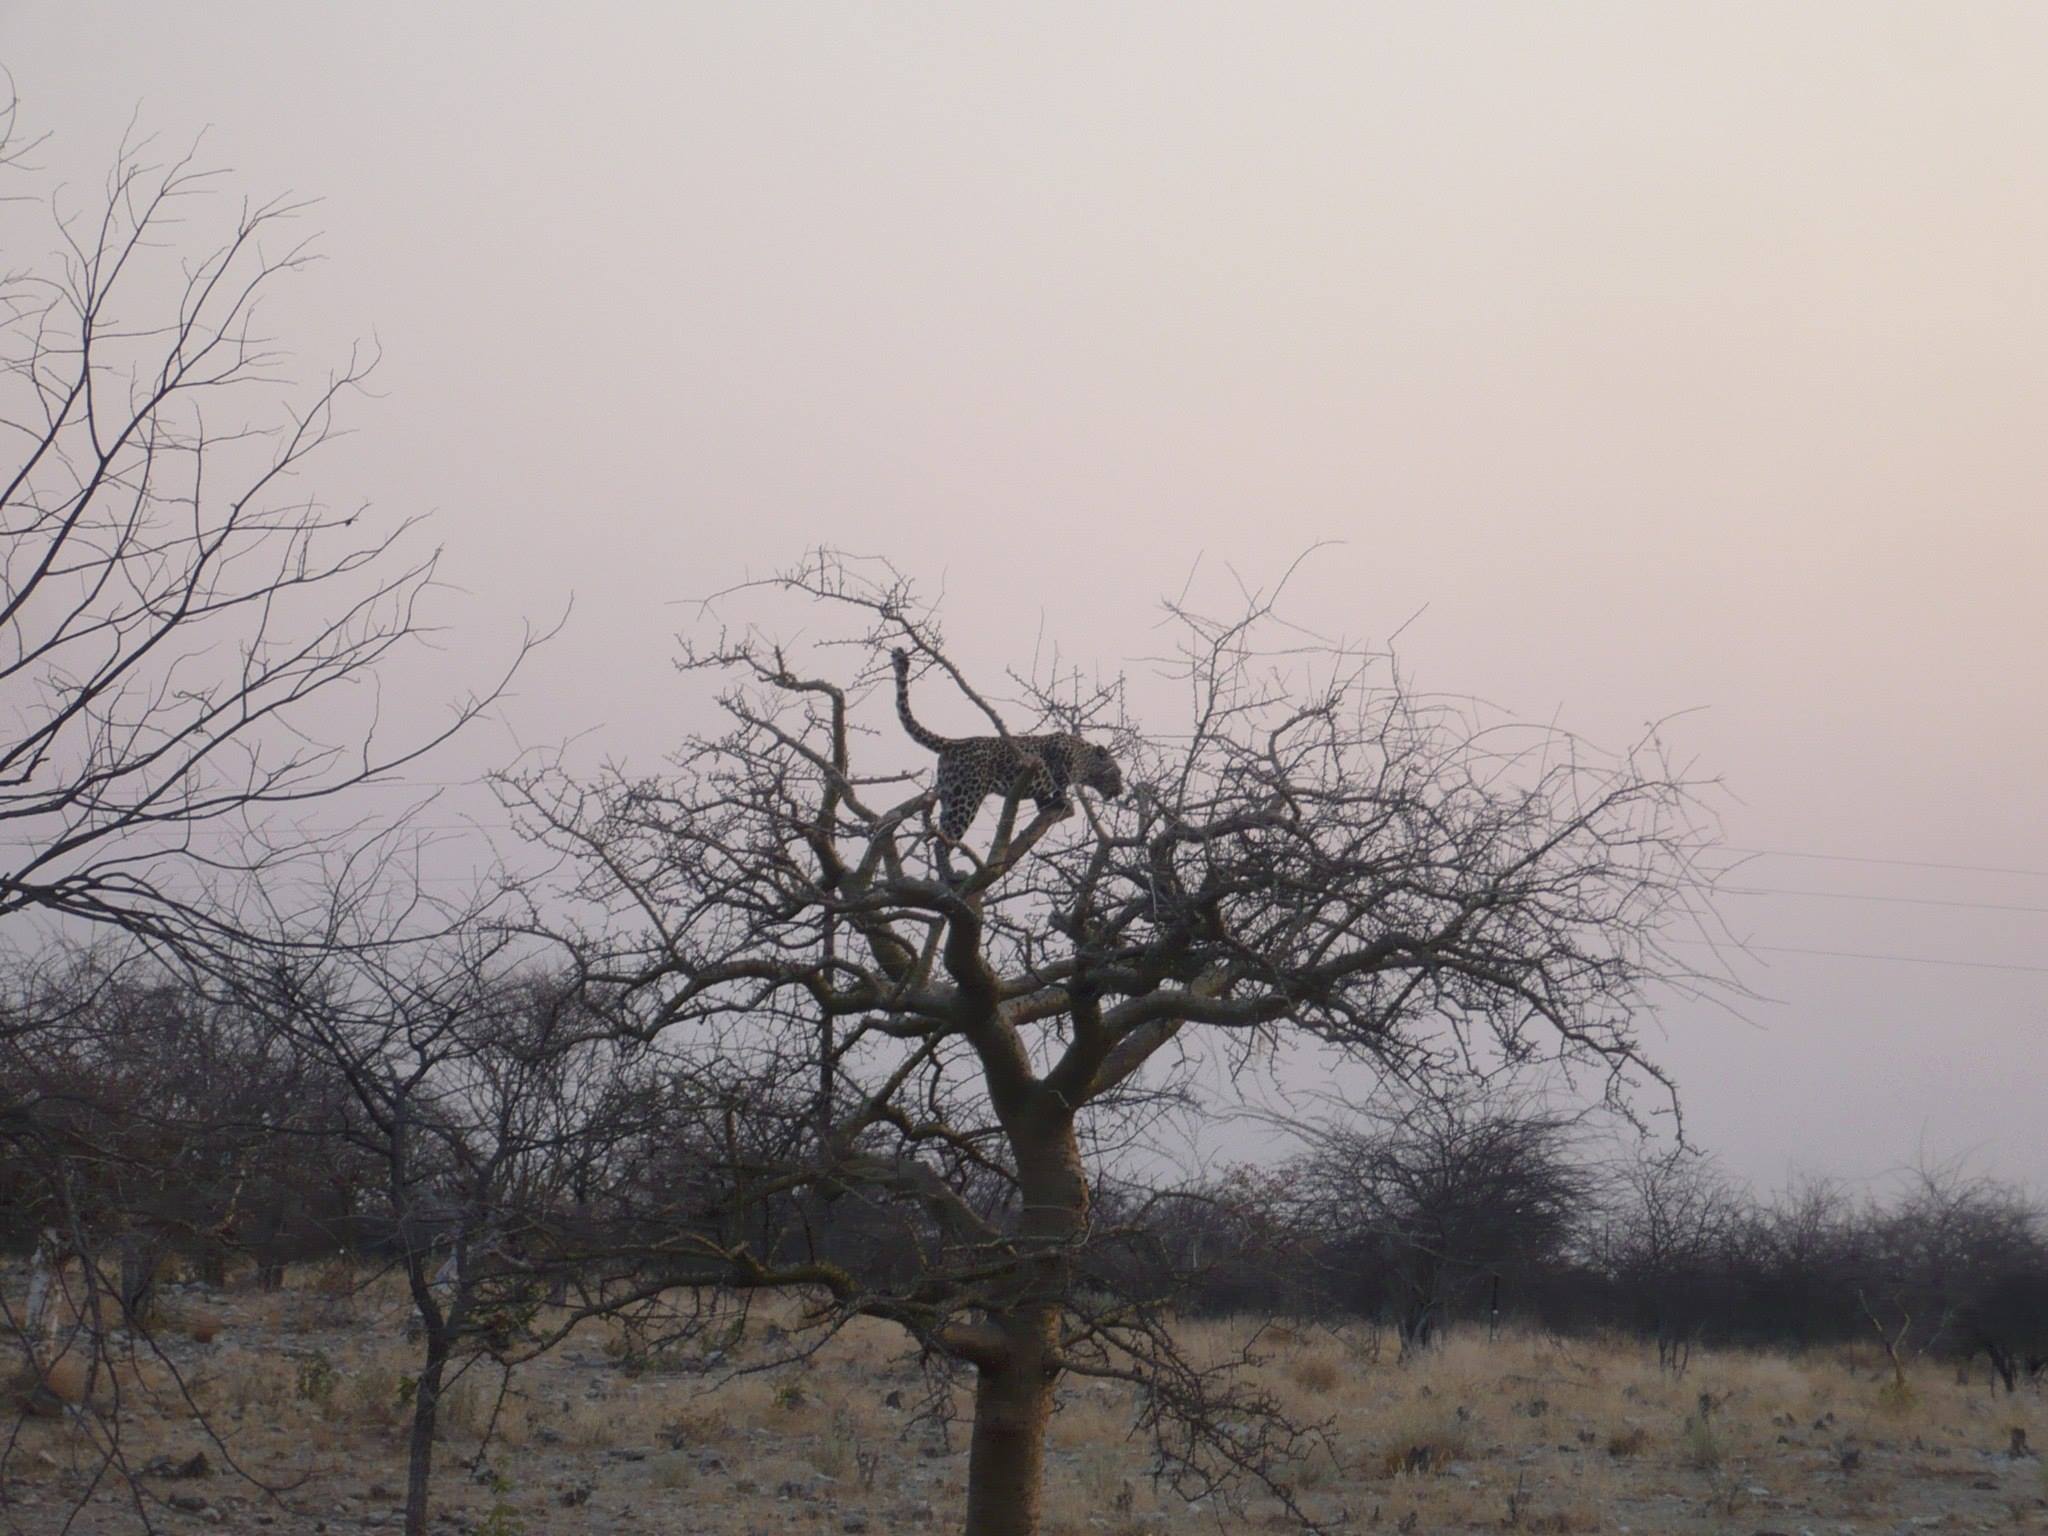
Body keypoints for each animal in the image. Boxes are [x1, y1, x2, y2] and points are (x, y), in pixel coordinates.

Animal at [892, 647, 1130, 843]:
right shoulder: (1058, 753)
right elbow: (1059, 780)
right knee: (945, 840)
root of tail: (954, 743)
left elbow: (1042, 795)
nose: (1121, 790)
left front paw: (1050, 803)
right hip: (967, 796)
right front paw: (1063, 801)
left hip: (949, 792)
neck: (1085, 761)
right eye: (1117, 773)